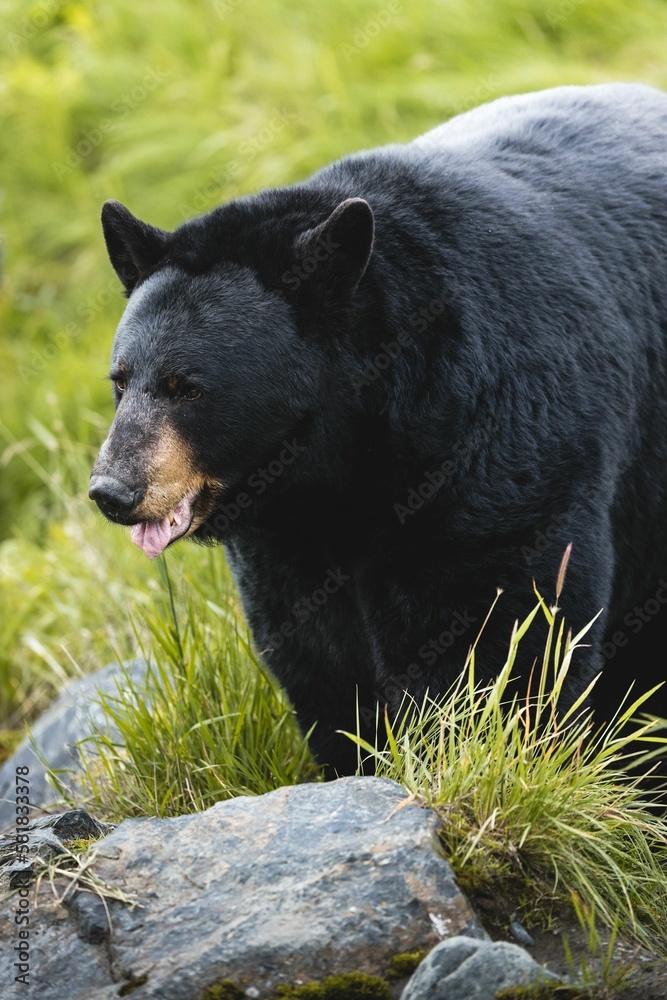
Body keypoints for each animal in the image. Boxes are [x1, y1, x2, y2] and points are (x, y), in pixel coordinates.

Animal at [90, 84, 667, 772]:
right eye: (121, 380)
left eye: (189, 387)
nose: (112, 491)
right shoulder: (287, 538)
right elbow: (317, 654)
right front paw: (357, 757)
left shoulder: (495, 448)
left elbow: (500, 626)